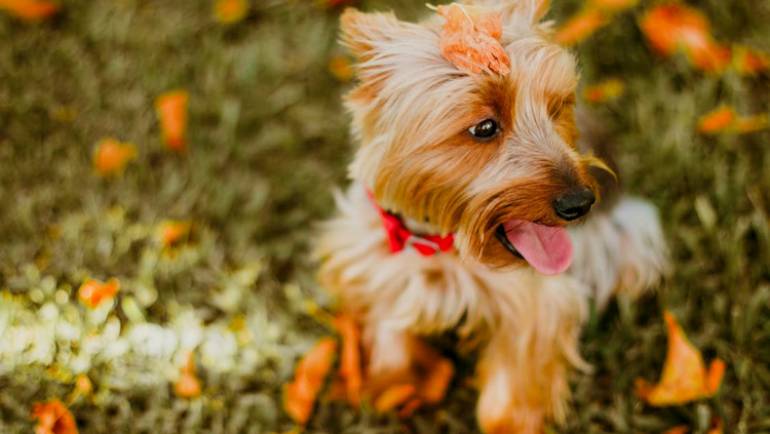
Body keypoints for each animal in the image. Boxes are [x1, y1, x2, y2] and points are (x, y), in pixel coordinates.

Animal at [316, 1, 664, 432]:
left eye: (556, 108)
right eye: (484, 127)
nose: (580, 202)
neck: (441, 242)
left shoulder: (534, 300)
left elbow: (517, 368)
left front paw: (508, 422)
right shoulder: (375, 255)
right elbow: (388, 322)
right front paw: (394, 384)